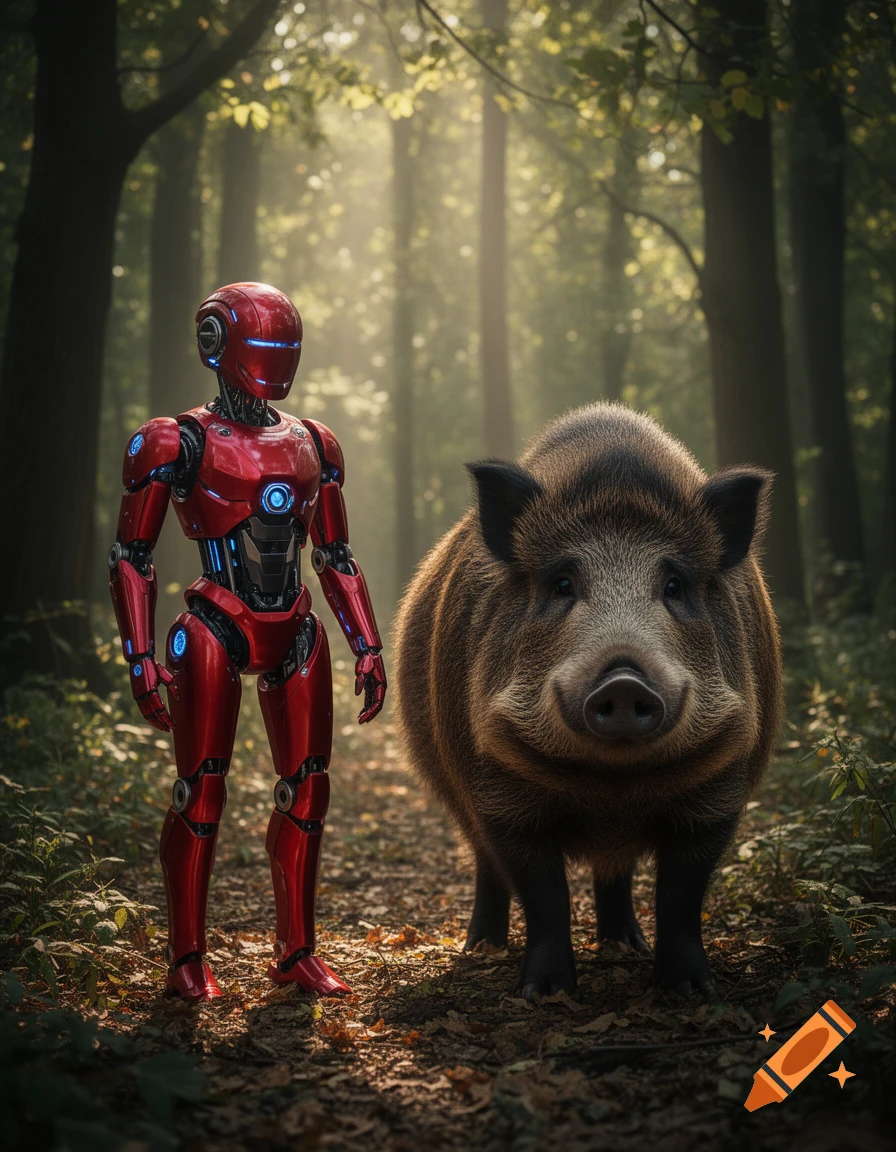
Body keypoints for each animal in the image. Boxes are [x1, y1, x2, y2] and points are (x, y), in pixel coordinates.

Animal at [393, 403, 782, 1000]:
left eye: (674, 584)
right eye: (562, 583)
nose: (623, 680)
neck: (610, 789)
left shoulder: (719, 786)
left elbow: (681, 895)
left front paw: (692, 991)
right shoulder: (500, 791)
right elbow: (543, 893)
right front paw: (546, 993)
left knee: (613, 872)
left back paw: (625, 945)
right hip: (455, 791)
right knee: (485, 862)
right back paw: (480, 949)